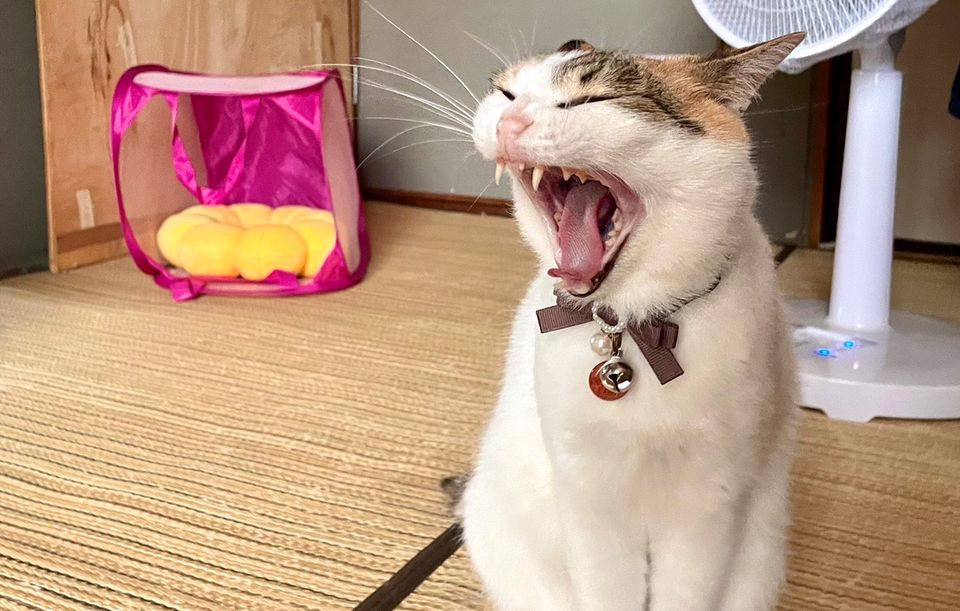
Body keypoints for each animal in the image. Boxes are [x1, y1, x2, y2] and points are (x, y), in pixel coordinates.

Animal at [457, 33, 805, 611]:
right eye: (505, 93)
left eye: (593, 99)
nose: (511, 120)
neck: (632, 330)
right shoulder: (586, 497)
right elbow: (606, 589)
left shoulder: (707, 508)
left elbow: (685, 594)